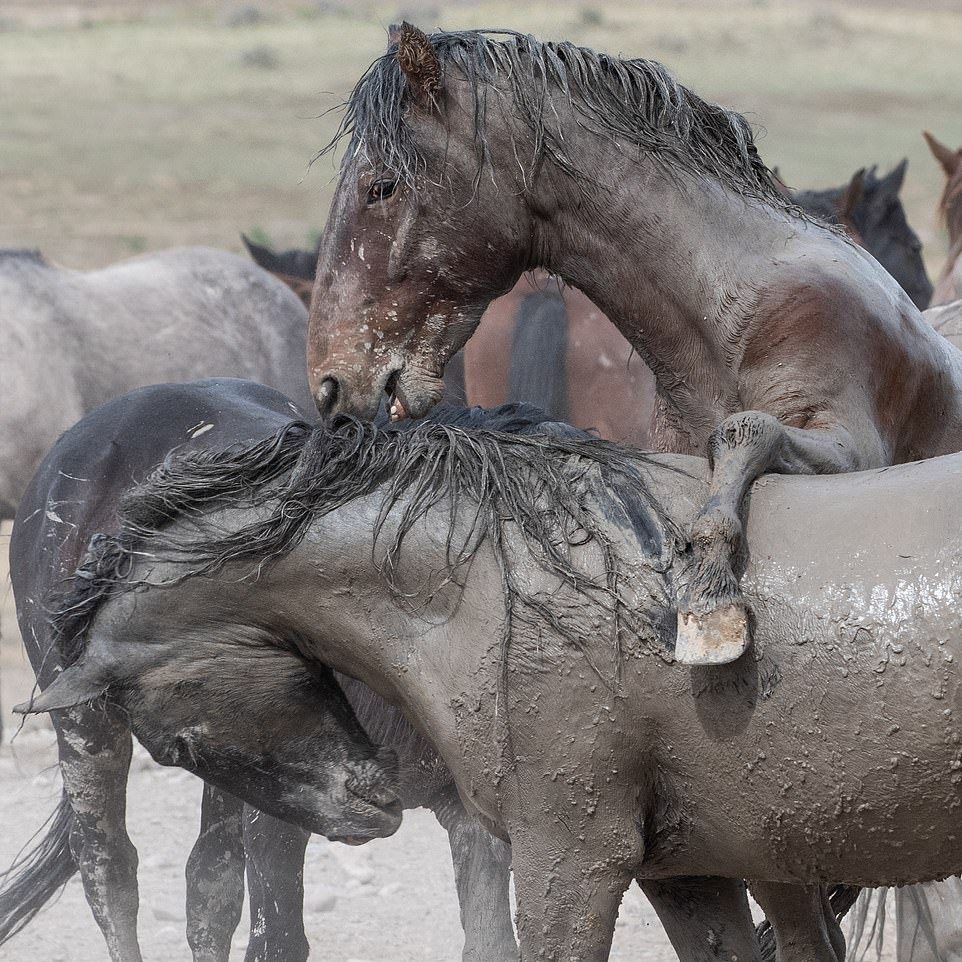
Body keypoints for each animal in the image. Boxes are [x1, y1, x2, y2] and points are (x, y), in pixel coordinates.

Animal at [0, 378, 516, 960]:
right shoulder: (280, 818)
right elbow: (279, 938)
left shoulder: (477, 820)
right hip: (86, 723)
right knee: (107, 866)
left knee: (208, 885)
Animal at [302, 24, 960, 668]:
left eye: (382, 187)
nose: (329, 385)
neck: (731, 311)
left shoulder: (853, 450)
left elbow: (745, 430)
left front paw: (710, 597)